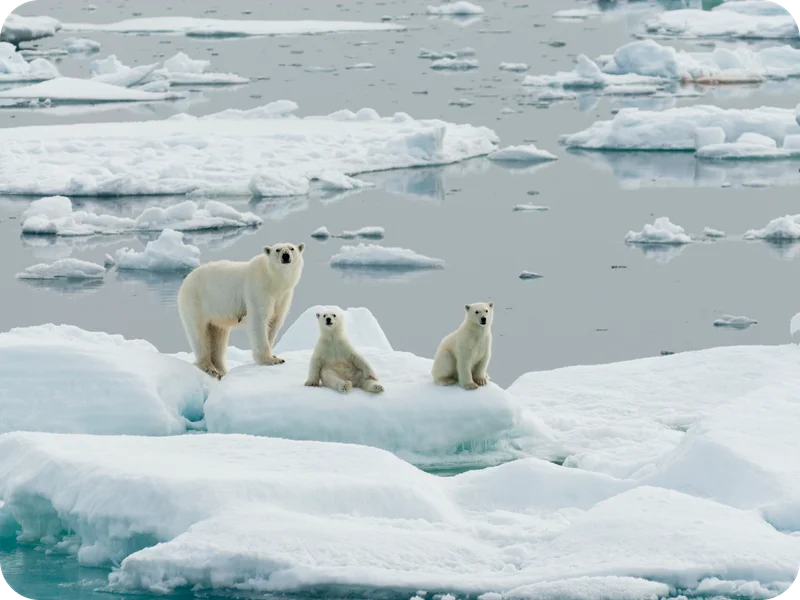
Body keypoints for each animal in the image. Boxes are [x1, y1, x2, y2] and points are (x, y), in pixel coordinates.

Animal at [177, 242, 305, 379]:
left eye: (292, 248)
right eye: (278, 249)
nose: (286, 256)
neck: (273, 280)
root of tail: (186, 279)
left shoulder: (283, 296)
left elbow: (274, 322)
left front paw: (274, 355)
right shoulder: (258, 290)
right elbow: (259, 321)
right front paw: (270, 360)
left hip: (215, 314)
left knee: (218, 336)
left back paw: (221, 370)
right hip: (196, 301)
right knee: (199, 332)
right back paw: (209, 367)